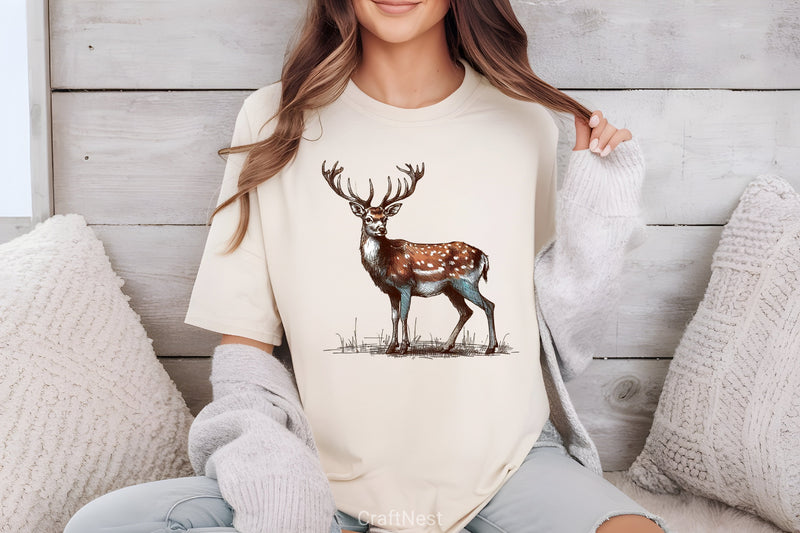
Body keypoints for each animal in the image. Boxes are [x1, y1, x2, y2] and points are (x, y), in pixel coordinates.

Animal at [321, 160, 498, 355]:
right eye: (368, 218)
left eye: (385, 218)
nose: (382, 229)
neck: (385, 263)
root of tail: (484, 256)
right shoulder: (391, 290)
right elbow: (394, 316)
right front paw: (391, 347)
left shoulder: (405, 285)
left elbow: (404, 315)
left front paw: (404, 347)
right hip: (451, 288)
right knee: (466, 311)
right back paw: (446, 346)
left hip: (467, 281)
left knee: (489, 305)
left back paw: (491, 347)